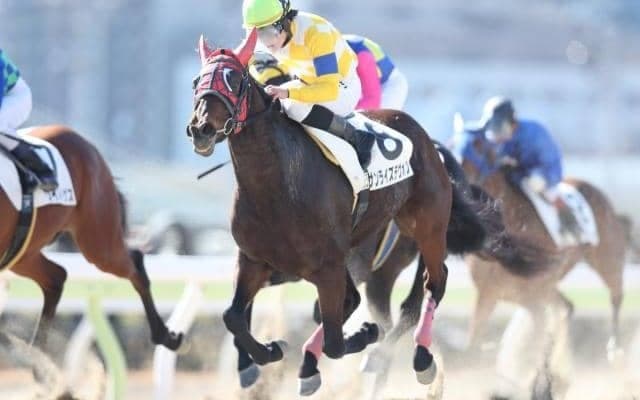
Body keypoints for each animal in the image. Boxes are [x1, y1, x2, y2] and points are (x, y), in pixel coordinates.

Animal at [0, 125, 183, 352]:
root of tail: (88, 145)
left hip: (99, 243)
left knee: (135, 262)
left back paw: (166, 336)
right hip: (23, 253)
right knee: (56, 277)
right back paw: (36, 356)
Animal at [186, 30, 552, 395]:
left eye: (234, 79)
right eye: (195, 81)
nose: (201, 129)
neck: (276, 186)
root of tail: (426, 139)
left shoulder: (330, 267)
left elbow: (335, 338)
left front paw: (360, 337)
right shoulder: (255, 260)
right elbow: (234, 316)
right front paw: (269, 352)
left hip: (427, 230)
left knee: (430, 287)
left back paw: (418, 358)